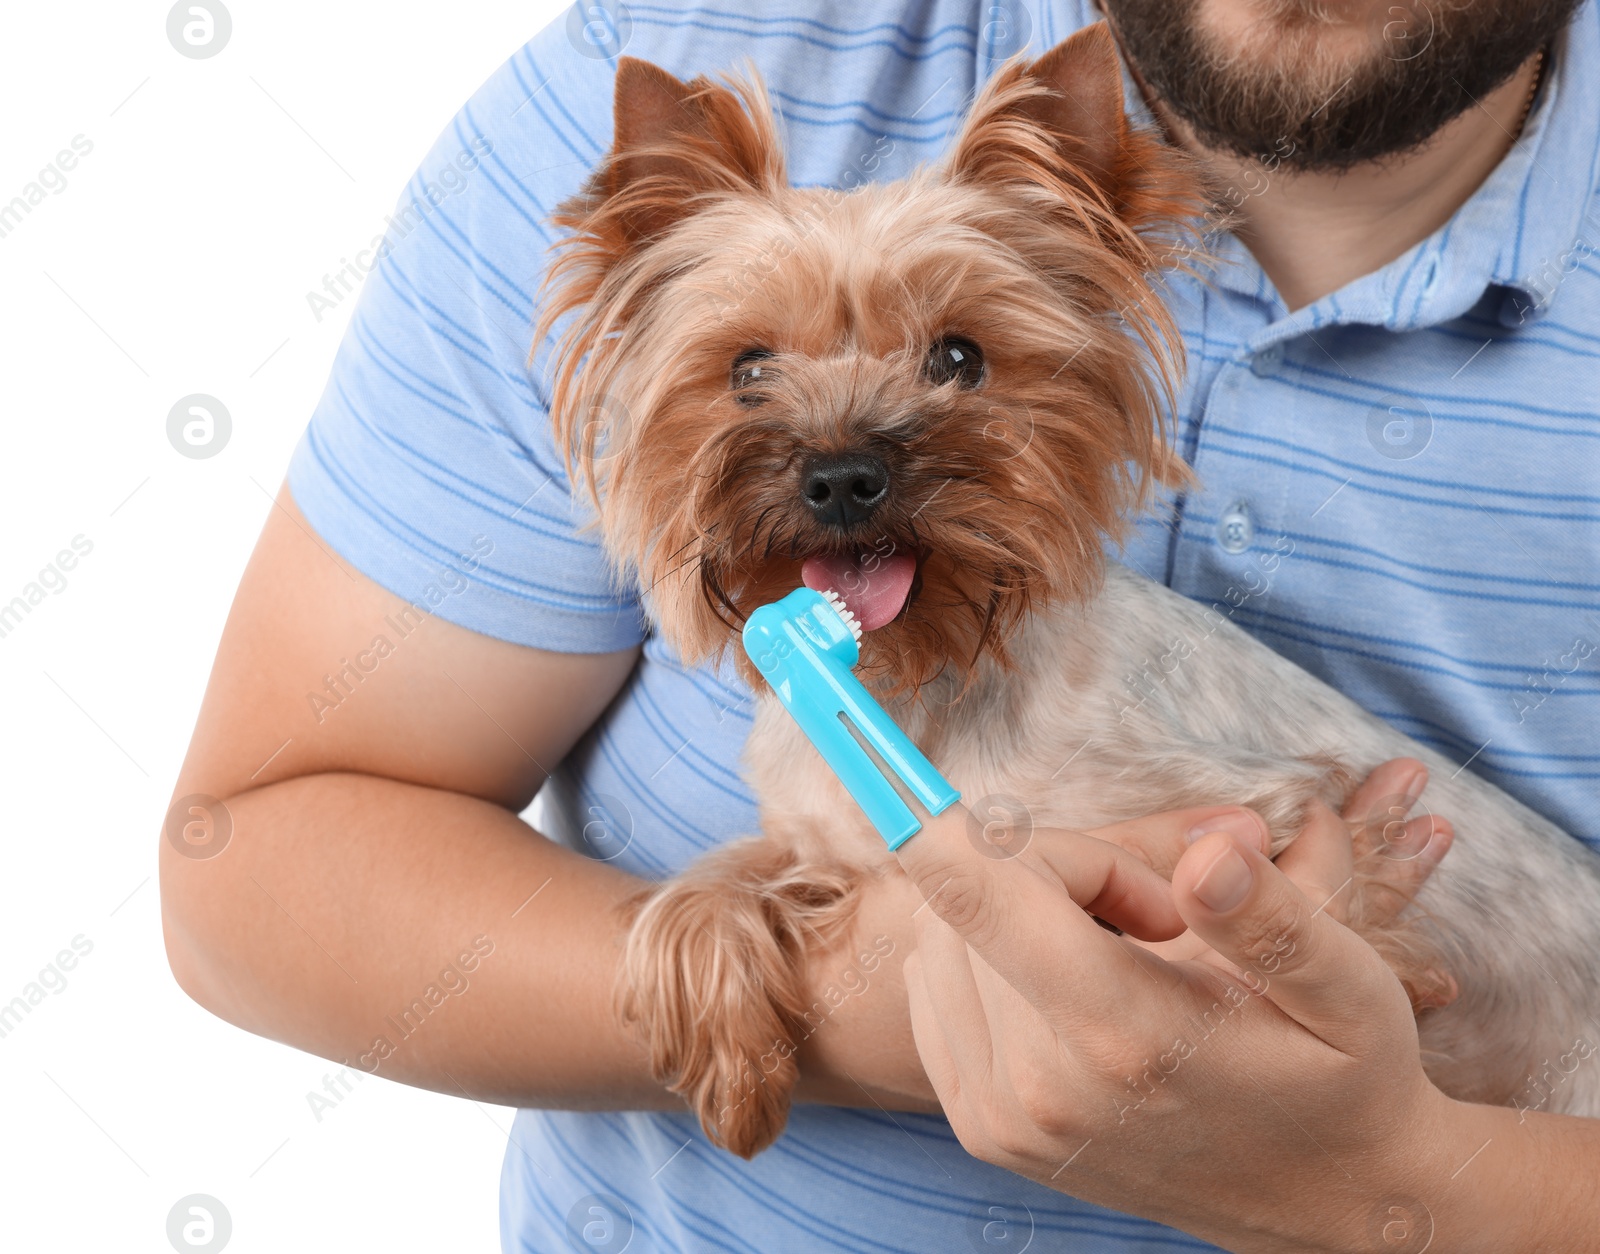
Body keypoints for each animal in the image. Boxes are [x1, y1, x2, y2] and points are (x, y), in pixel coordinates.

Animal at [534, 21, 1600, 1158]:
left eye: (961, 357)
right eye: (745, 370)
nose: (841, 473)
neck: (914, 682)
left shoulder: (1253, 812)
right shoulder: (823, 837)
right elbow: (712, 884)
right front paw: (728, 1043)